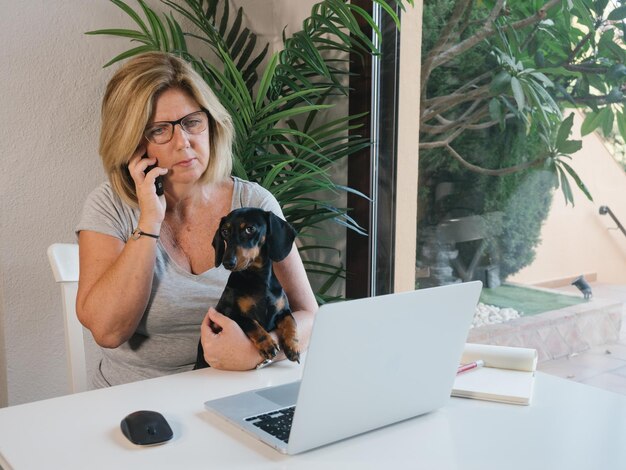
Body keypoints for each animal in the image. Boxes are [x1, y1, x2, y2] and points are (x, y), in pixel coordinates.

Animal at [195, 207, 302, 370]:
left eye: (249, 229)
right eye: (224, 232)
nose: (227, 262)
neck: (258, 280)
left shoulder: (283, 311)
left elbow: (291, 322)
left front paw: (293, 347)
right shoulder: (231, 314)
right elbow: (251, 323)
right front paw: (268, 344)